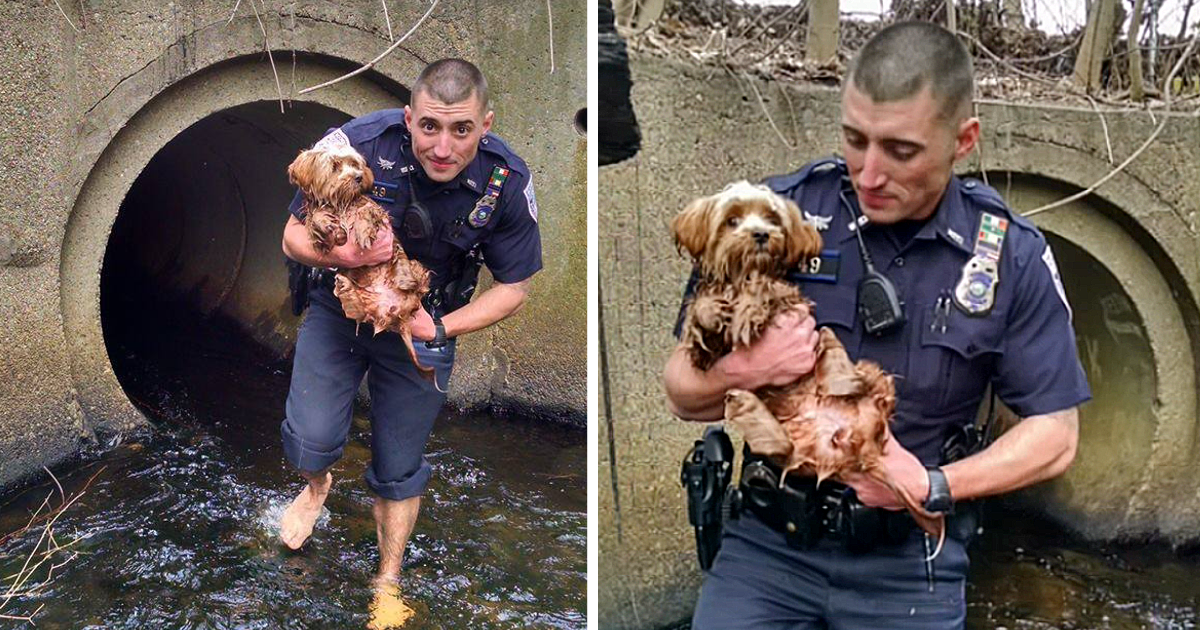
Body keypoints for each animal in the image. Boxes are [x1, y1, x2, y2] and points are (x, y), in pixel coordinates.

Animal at [672, 178, 940, 547]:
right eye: (732, 220)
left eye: (772, 218)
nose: (761, 234)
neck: (742, 273)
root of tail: (853, 443)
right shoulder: (708, 352)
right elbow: (701, 320)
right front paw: (710, 310)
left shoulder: (790, 299)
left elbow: (765, 287)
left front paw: (747, 308)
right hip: (794, 451)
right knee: (781, 445)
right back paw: (747, 403)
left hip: (865, 371)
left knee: (861, 376)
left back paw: (840, 380)